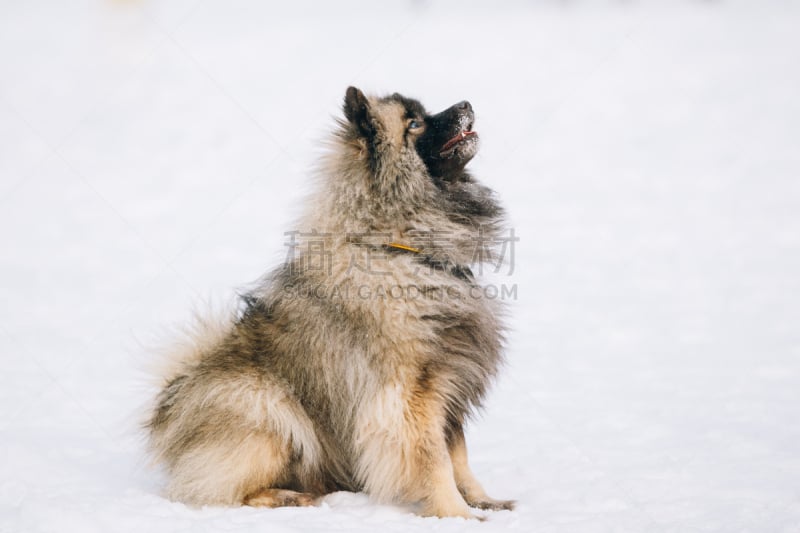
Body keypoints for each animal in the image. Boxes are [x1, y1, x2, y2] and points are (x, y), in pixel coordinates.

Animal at [145, 88, 512, 520]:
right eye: (414, 123)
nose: (467, 104)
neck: (399, 248)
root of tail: (170, 406)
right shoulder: (411, 397)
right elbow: (435, 460)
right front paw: (457, 515)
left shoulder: (449, 383)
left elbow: (459, 456)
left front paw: (483, 500)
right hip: (267, 406)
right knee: (221, 491)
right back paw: (286, 497)